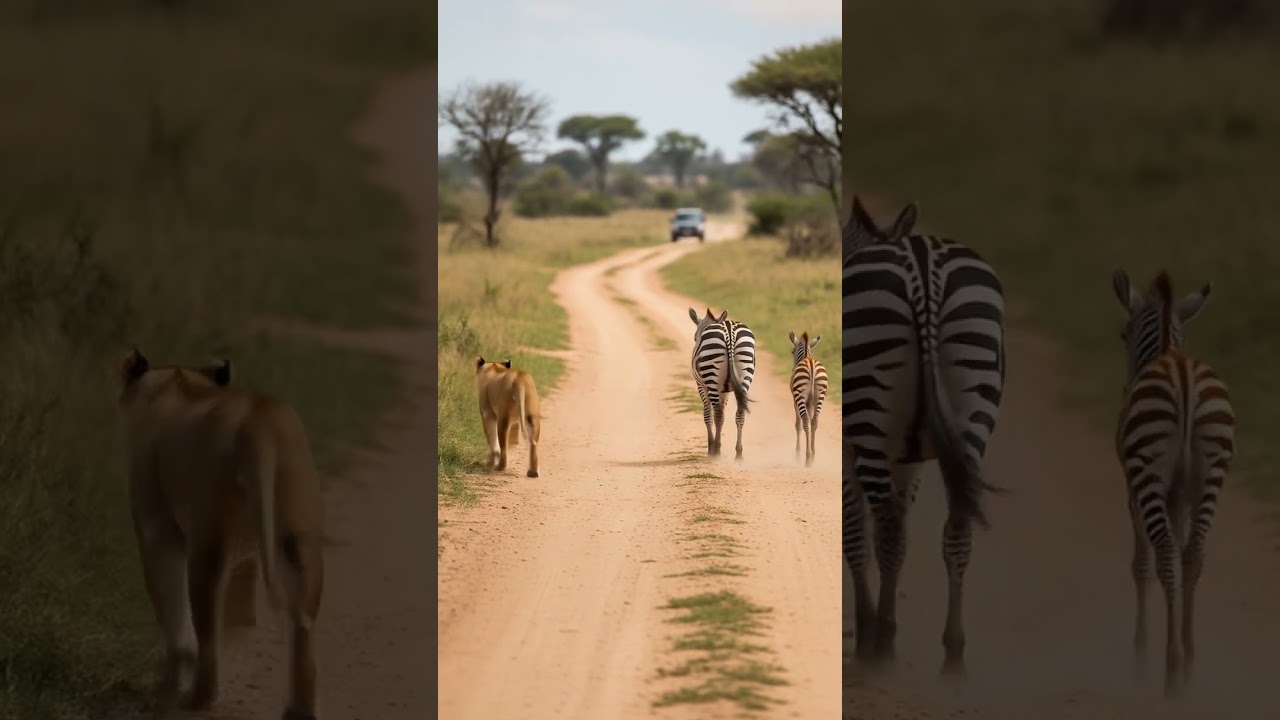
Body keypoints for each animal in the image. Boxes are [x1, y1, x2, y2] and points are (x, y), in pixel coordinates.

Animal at [117, 348, 325, 720]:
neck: (178, 385)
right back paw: (298, 712)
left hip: (208, 541)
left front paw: (166, 684)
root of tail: (260, 418)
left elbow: (172, 611)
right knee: (302, 623)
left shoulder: (158, 533)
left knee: (208, 630)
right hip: (299, 540)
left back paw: (196, 698)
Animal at [687, 307, 756, 459]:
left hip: (712, 377)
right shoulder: (725, 391)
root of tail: (729, 331)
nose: (695, 340)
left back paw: (716, 451)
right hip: (745, 373)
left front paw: (711, 447)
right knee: (740, 413)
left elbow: (708, 414)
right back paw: (739, 453)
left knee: (717, 414)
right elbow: (724, 415)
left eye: (695, 337)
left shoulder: (702, 386)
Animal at [788, 330, 828, 467]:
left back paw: (807, 457)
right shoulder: (810, 403)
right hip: (820, 396)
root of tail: (810, 363)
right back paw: (813, 456)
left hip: (800, 397)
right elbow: (812, 422)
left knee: (805, 421)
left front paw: (797, 454)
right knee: (814, 421)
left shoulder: (795, 402)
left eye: (792, 351)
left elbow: (797, 425)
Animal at [842, 195, 1007, 675]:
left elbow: (856, 533)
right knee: (956, 529)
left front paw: (868, 627)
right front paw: (882, 625)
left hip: (870, 416)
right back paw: (952, 652)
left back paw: (878, 648)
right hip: (974, 396)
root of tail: (923, 265)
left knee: (888, 532)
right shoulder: (906, 460)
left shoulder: (851, 449)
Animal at [1111, 269, 1234, 698]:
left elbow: (1140, 564)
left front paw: (1139, 656)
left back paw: (1170, 668)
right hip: (1212, 474)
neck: (1164, 348)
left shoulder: (1133, 491)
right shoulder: (1181, 495)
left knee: (1163, 552)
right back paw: (1189, 662)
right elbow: (1184, 554)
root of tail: (1181, 373)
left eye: (1123, 334)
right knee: (1193, 553)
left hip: (1148, 478)